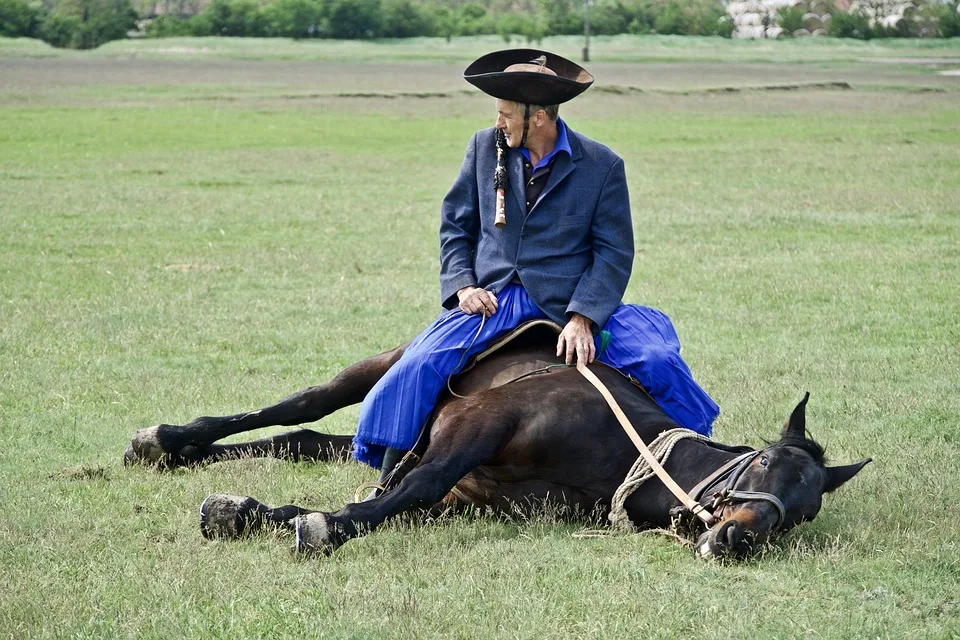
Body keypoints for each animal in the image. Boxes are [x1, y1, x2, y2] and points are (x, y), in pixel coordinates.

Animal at [125, 324, 872, 560]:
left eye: (803, 513)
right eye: (766, 460)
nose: (740, 537)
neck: (626, 453)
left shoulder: (464, 493)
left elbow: (397, 495)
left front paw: (251, 513)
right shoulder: (478, 423)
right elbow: (405, 489)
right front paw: (324, 527)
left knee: (309, 439)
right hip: (389, 366)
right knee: (301, 405)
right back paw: (167, 439)